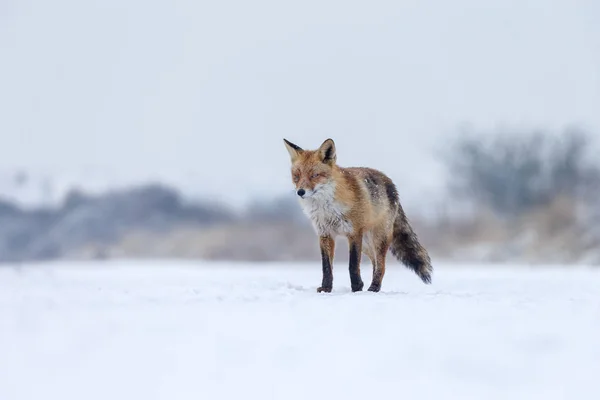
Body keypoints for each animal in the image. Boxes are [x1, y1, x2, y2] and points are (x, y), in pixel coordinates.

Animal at [282, 139, 432, 292]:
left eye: (314, 175)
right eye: (296, 176)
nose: (300, 192)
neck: (327, 208)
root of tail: (391, 184)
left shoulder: (354, 232)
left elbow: (353, 265)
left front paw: (356, 288)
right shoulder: (325, 234)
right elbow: (326, 267)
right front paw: (326, 288)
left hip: (378, 238)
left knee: (381, 266)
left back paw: (374, 288)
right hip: (366, 244)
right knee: (375, 262)